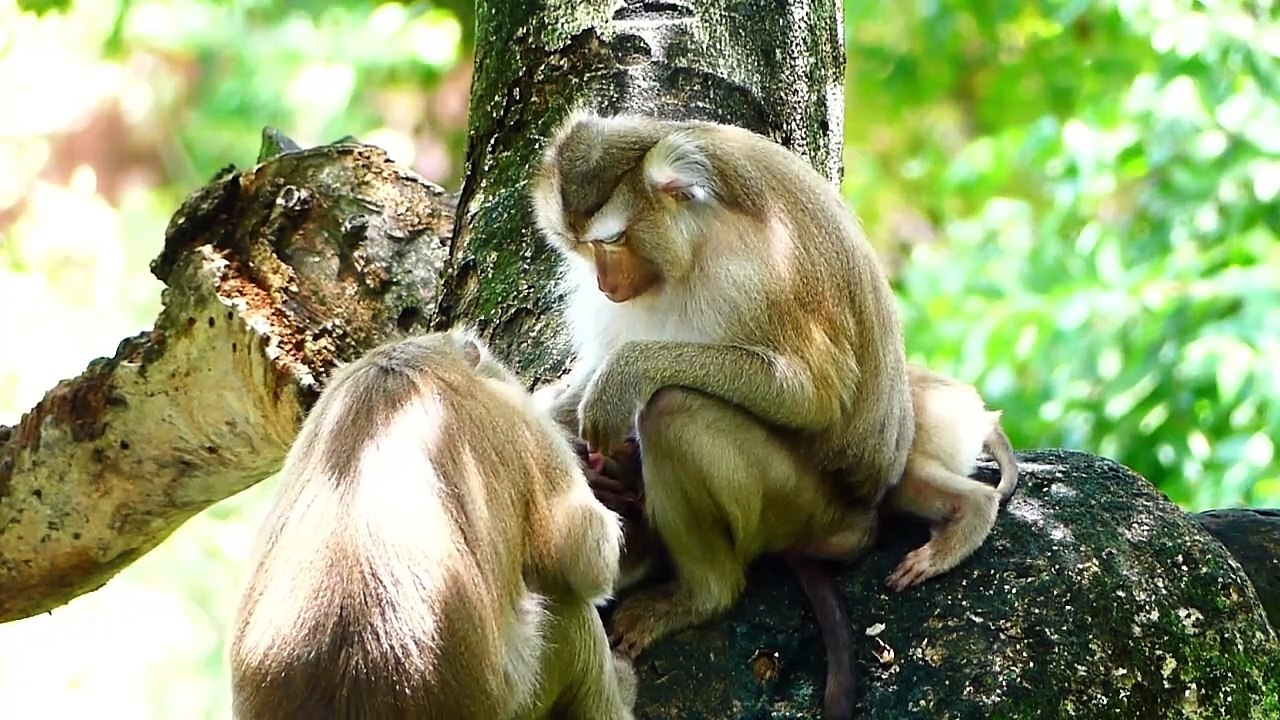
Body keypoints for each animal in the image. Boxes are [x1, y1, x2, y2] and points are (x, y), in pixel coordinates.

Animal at [529, 111, 912, 663]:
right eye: (584, 247)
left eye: (613, 240)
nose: (606, 283)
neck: (698, 239)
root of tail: (862, 515)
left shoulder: (757, 271)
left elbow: (817, 394)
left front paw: (627, 374)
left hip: (802, 509)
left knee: (674, 410)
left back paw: (704, 594)